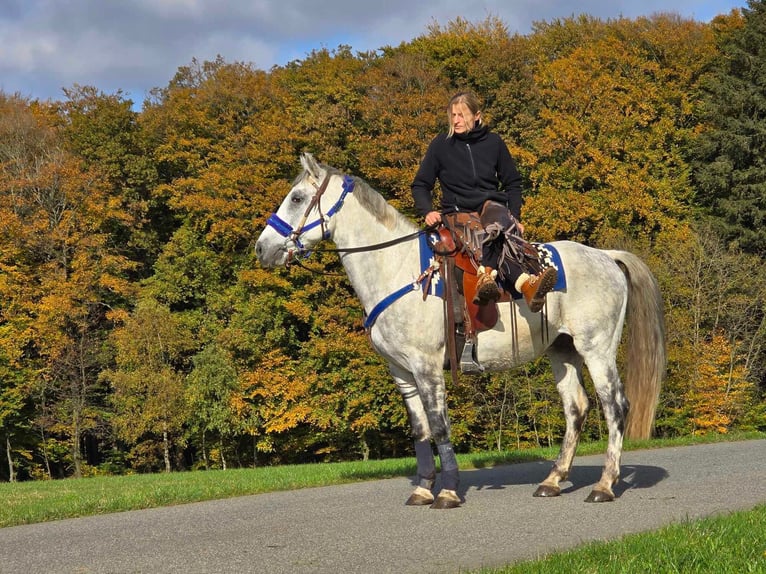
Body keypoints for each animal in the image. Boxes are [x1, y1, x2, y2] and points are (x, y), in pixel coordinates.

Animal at [255, 152, 664, 508]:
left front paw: (448, 491)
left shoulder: (426, 367)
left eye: (297, 197)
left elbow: (439, 426)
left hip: (597, 350)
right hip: (562, 352)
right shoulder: (401, 372)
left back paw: (604, 485)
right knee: (576, 408)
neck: (398, 269)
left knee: (615, 406)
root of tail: (606, 256)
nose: (262, 248)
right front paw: (423, 489)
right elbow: (420, 430)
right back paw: (552, 480)